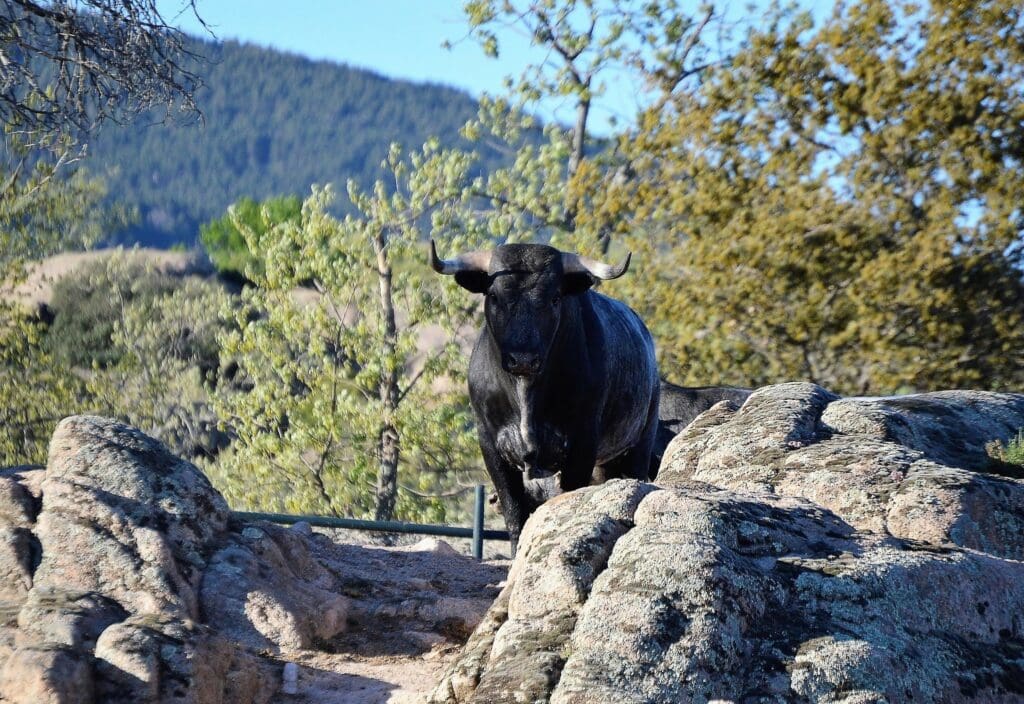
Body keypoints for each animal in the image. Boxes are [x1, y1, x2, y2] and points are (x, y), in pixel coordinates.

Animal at [430, 240, 655, 548]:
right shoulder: (490, 443)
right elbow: (515, 513)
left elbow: (567, 500)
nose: (523, 359)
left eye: (555, 298)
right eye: (494, 296)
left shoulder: (582, 442)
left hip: (639, 443)